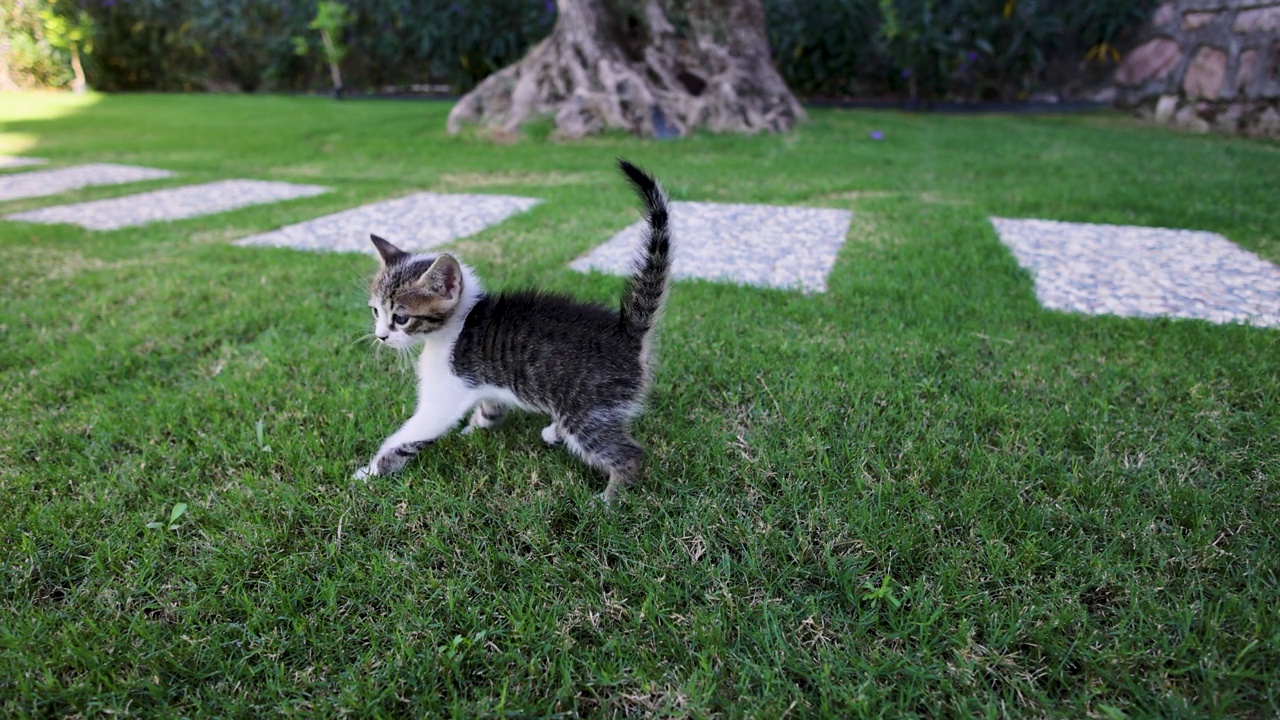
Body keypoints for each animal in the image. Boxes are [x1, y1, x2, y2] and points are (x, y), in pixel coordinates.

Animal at [350, 159, 670, 502]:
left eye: (400, 318)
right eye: (375, 312)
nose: (380, 336)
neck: (458, 321)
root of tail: (628, 334)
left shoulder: (445, 392)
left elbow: (409, 435)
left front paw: (368, 473)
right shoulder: (484, 384)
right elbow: (489, 407)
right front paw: (475, 427)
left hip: (588, 409)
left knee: (628, 454)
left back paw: (609, 499)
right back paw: (555, 433)